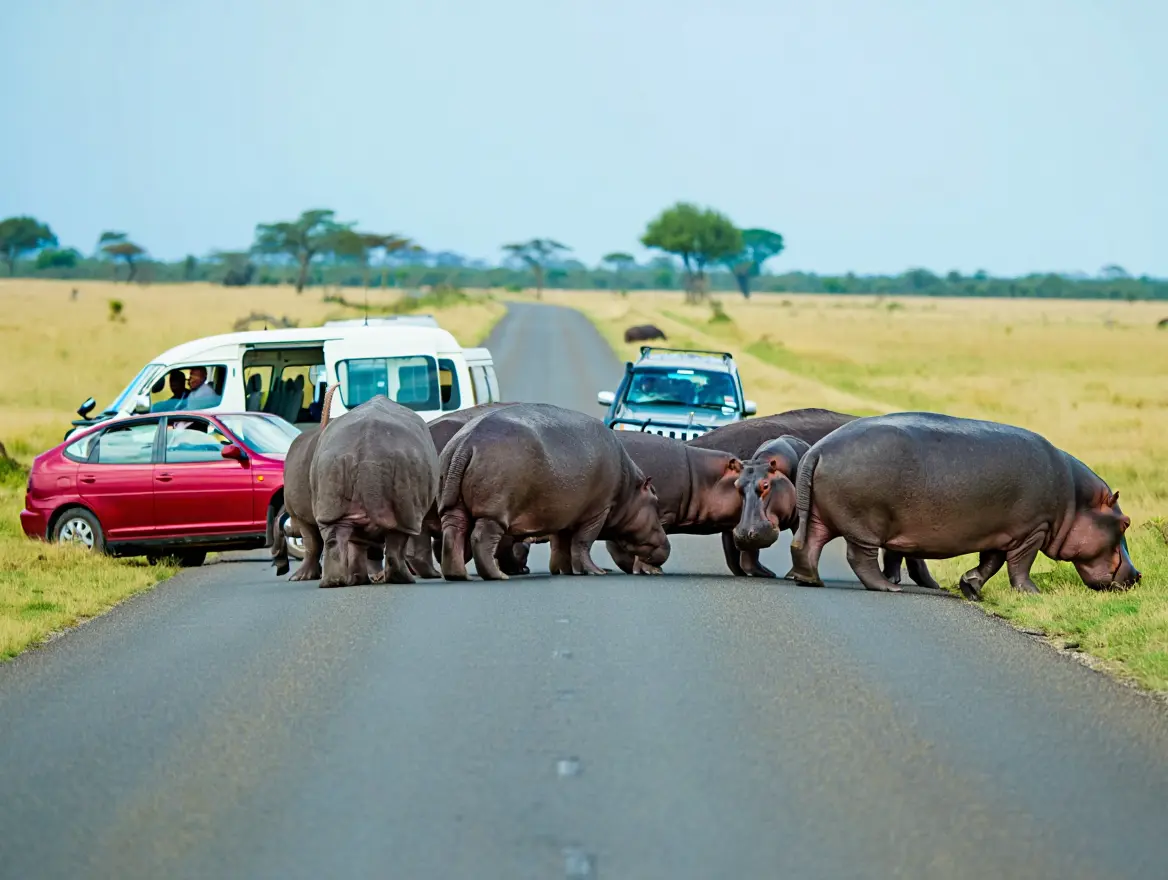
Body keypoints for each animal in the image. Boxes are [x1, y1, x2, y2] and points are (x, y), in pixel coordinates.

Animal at [310, 393, 440, 588]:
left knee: (335, 539)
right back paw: (402, 579)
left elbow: (356, 546)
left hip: (332, 483)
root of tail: (367, 447)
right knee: (397, 543)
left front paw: (358, 580)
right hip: (406, 507)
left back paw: (333, 582)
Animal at [437, 403, 671, 580]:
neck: (629, 489)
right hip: (494, 511)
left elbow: (562, 544)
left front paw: (566, 571)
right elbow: (582, 542)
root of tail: (465, 444)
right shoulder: (598, 511)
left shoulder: (565, 515)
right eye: (656, 499)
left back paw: (457, 575)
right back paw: (498, 576)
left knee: (453, 533)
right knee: (482, 538)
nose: (666, 544)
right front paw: (595, 572)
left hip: (452, 505)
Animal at [788, 411, 1141, 596]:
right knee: (860, 557)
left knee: (807, 544)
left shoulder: (1003, 532)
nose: (1138, 575)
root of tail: (817, 450)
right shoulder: (1032, 531)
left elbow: (991, 563)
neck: (1076, 501)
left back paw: (810, 580)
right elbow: (1019, 565)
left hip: (821, 516)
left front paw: (970, 587)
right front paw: (1032, 592)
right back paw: (888, 588)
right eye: (1125, 523)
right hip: (864, 525)